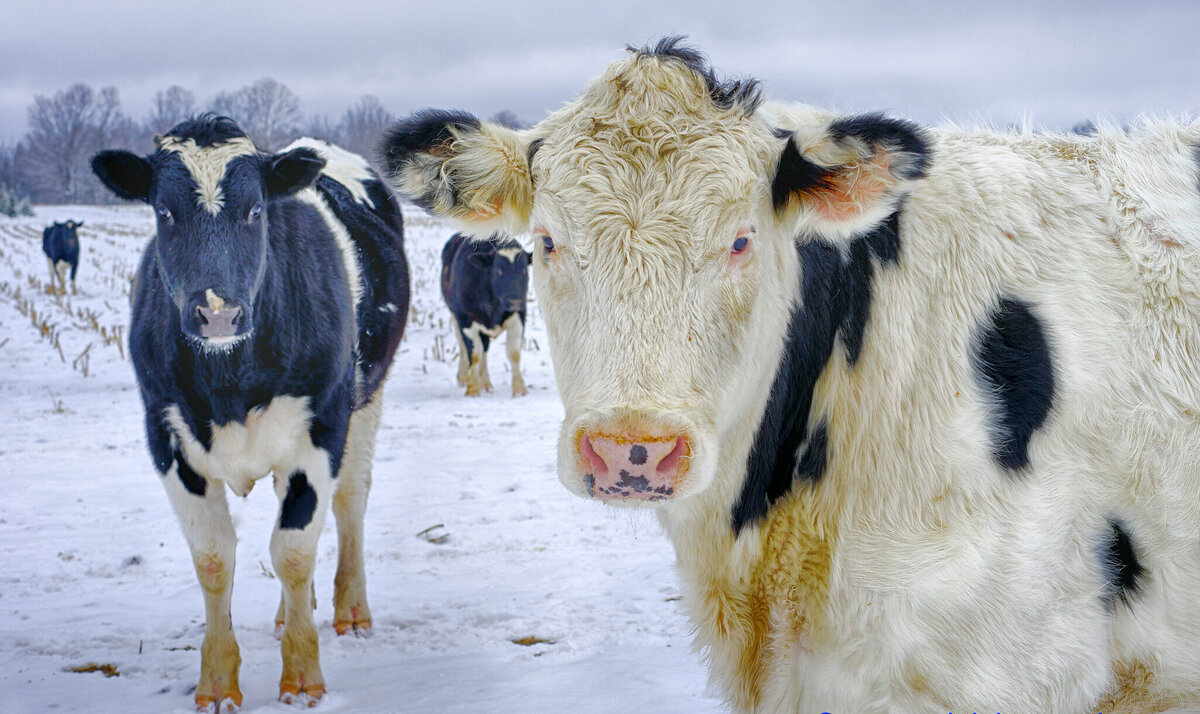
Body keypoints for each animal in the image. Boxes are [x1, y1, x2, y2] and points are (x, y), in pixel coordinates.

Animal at [88, 115, 408, 710]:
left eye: (255, 209)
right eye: (163, 212)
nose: (217, 313)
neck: (228, 385)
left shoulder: (320, 428)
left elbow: (294, 550)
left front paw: (303, 677)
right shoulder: (166, 436)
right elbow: (214, 558)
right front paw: (217, 681)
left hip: (366, 399)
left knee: (349, 500)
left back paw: (351, 610)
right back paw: (289, 614)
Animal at [439, 231, 528, 396]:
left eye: (524, 271)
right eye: (498, 271)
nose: (515, 302)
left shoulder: (519, 315)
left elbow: (513, 352)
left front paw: (519, 390)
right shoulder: (465, 319)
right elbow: (474, 354)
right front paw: (473, 389)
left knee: (485, 349)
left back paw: (485, 382)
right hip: (455, 317)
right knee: (465, 347)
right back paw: (464, 377)